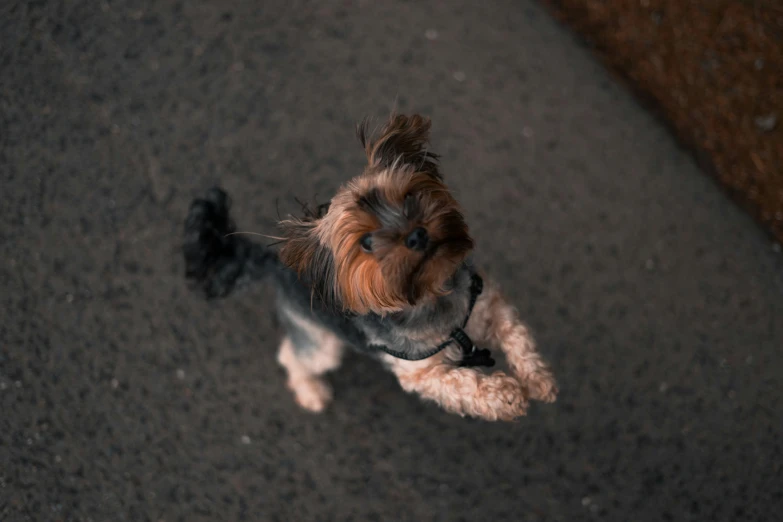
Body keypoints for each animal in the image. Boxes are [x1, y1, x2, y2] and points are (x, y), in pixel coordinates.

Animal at [184, 114, 556, 418]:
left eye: (409, 196)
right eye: (365, 242)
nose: (417, 235)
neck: (431, 294)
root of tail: (277, 260)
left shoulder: (488, 302)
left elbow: (517, 336)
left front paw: (538, 381)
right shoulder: (422, 372)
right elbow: (464, 383)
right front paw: (505, 394)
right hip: (320, 338)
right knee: (294, 355)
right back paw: (311, 392)